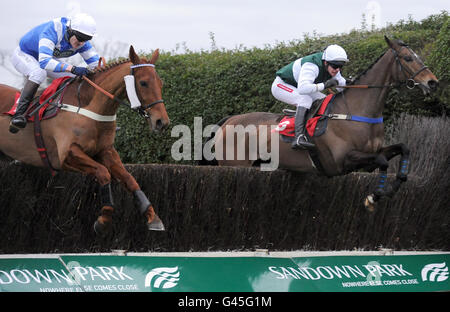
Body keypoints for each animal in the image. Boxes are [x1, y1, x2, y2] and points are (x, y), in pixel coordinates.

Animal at [0, 45, 170, 233]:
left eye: (161, 83)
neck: (90, 107)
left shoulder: (105, 150)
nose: (162, 122)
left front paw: (153, 217)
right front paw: (104, 219)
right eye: (143, 83)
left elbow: (129, 179)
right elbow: (103, 173)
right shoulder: (66, 155)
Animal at [209, 37, 438, 210]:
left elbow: (403, 149)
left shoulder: (370, 155)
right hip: (235, 165)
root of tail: (228, 121)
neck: (355, 111)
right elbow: (382, 161)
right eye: (408, 58)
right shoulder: (342, 160)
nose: (432, 82)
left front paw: (391, 188)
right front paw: (374, 196)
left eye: (418, 56)